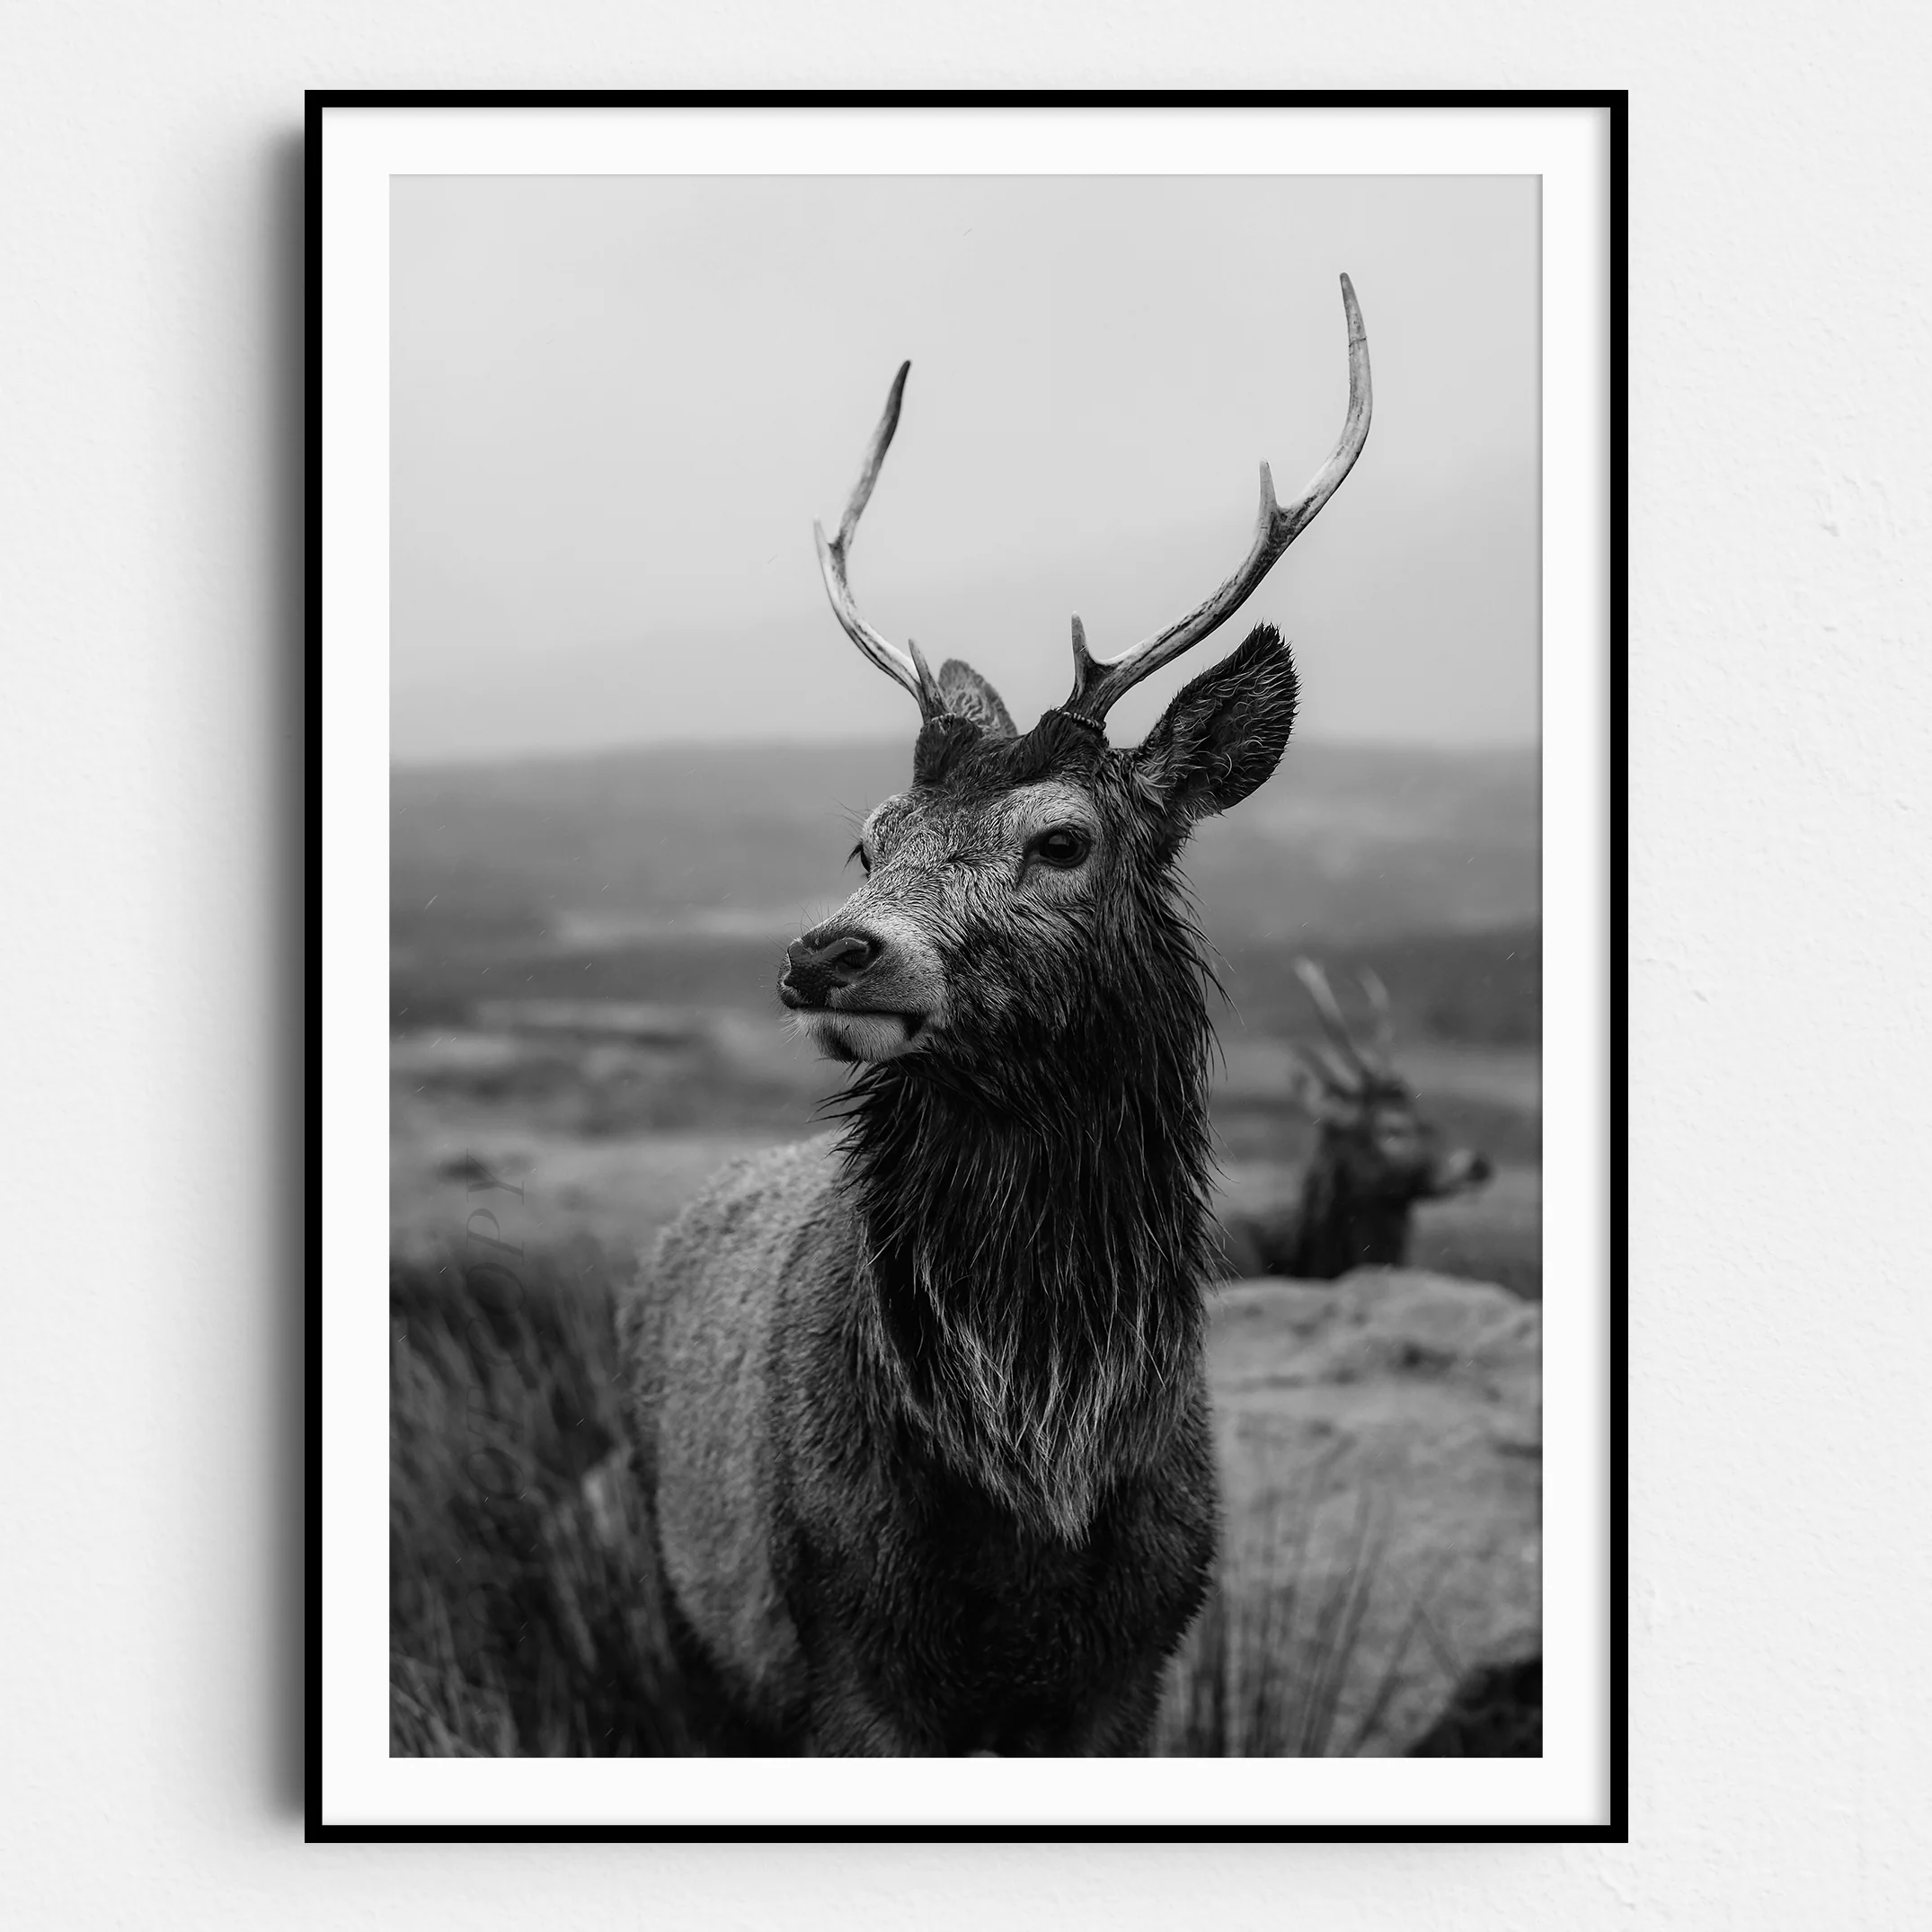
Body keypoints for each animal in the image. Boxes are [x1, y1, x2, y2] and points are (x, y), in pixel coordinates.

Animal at [617, 277, 1372, 1755]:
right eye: (869, 837)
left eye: (1063, 839)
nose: (825, 952)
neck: (1035, 1481)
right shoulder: (841, 1650)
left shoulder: (1133, 1662)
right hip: (678, 1616)